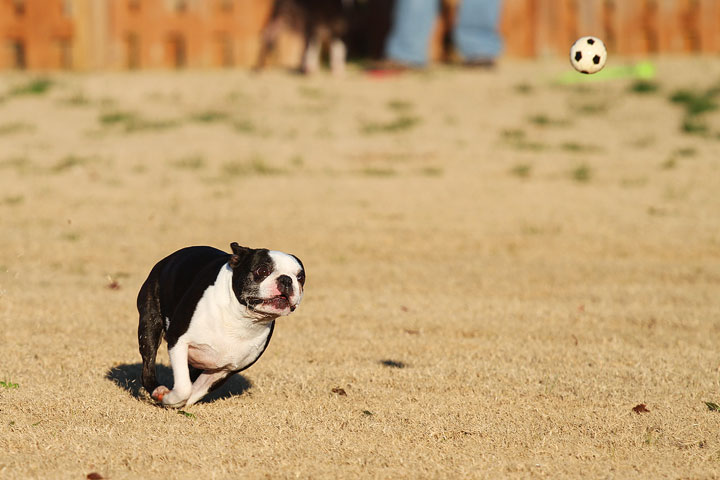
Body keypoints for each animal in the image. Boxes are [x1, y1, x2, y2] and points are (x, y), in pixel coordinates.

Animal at [136, 242, 306, 406]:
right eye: (263, 270)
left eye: (300, 277)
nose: (286, 279)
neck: (241, 318)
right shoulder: (178, 340)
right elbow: (184, 388)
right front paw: (167, 399)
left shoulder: (223, 371)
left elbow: (193, 392)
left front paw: (175, 403)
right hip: (150, 324)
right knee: (148, 366)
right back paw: (157, 389)